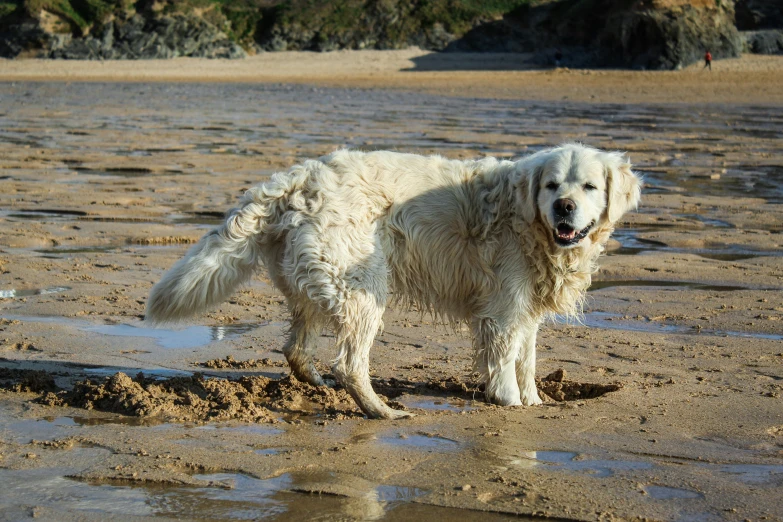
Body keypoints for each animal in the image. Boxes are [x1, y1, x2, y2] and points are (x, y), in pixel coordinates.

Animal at [147, 143, 644, 418]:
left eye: (589, 187)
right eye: (551, 185)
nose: (564, 208)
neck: (531, 224)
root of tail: (296, 178)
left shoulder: (526, 311)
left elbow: (527, 360)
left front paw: (534, 400)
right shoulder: (503, 309)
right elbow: (505, 362)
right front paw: (509, 403)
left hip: (315, 279)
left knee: (296, 347)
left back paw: (318, 385)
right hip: (363, 285)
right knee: (349, 363)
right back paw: (382, 411)